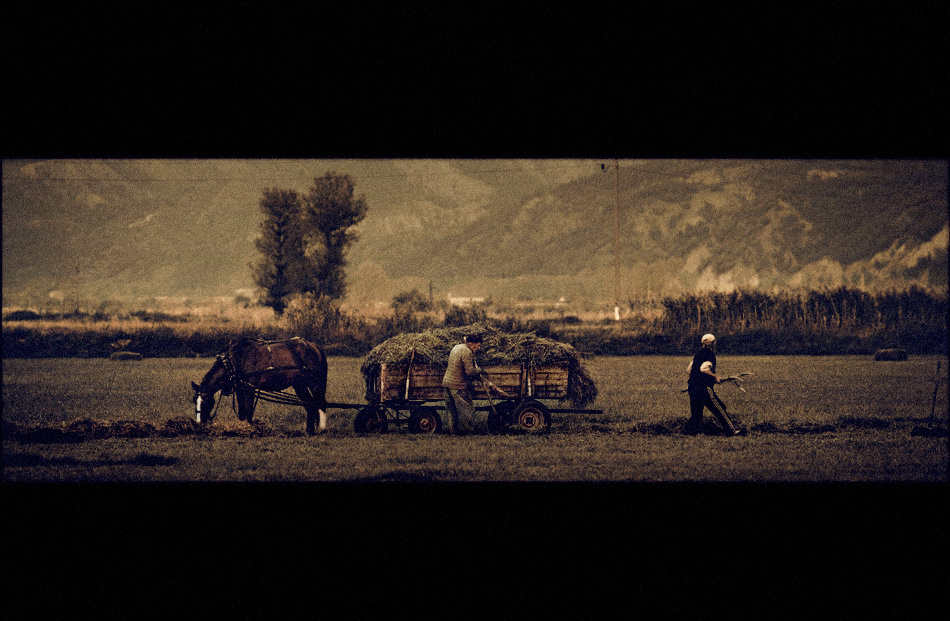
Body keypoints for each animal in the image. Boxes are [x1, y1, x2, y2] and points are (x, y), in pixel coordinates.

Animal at [191, 336, 329, 435]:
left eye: (206, 401)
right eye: (194, 400)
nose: (198, 423)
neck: (236, 362)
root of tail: (315, 347)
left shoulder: (250, 388)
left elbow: (248, 409)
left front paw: (248, 428)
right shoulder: (240, 389)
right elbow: (242, 410)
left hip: (315, 383)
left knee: (320, 403)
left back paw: (321, 428)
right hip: (299, 385)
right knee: (309, 404)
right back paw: (309, 430)